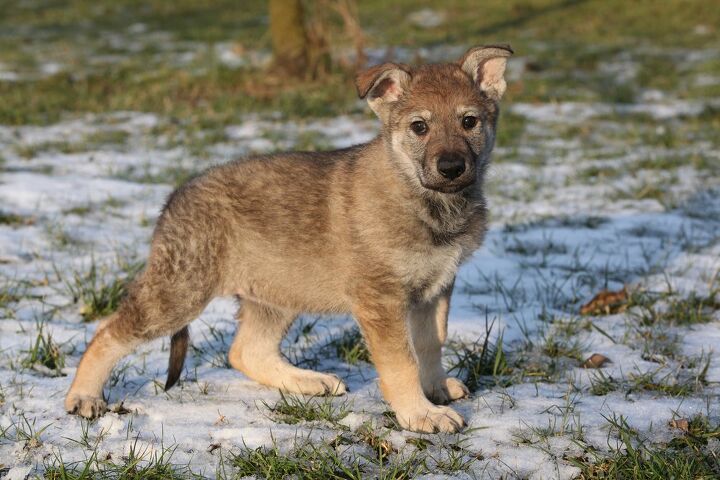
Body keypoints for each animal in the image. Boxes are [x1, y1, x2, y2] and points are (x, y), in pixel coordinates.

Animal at [64, 45, 510, 434]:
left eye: (469, 122)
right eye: (420, 127)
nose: (451, 167)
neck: (426, 200)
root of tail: (174, 197)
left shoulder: (435, 287)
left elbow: (431, 344)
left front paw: (436, 390)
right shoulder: (381, 299)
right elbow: (401, 362)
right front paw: (420, 414)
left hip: (277, 292)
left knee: (245, 351)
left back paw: (309, 382)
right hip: (182, 291)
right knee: (108, 332)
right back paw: (83, 397)